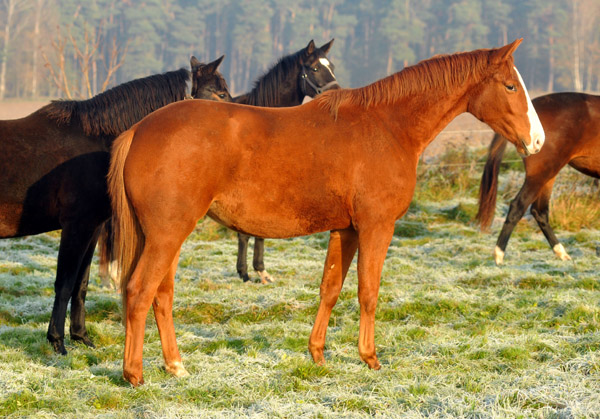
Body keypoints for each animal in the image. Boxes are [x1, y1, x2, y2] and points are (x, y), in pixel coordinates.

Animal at [0, 56, 231, 358]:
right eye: (221, 94)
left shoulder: (92, 228)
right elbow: (64, 283)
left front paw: (81, 337)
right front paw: (57, 342)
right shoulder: (76, 227)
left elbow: (81, 284)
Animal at [476, 92, 596, 264]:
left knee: (539, 211)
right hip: (540, 175)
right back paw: (499, 256)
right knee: (518, 206)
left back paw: (561, 253)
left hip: (548, 175)